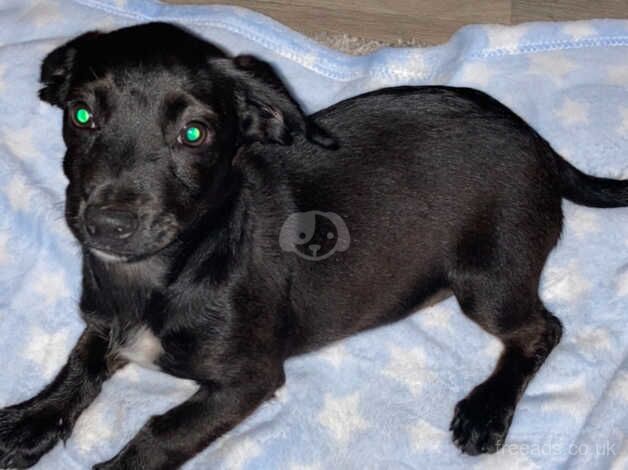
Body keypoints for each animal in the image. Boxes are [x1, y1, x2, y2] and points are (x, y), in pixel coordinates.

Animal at [1, 23, 628, 470]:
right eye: (82, 115)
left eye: (194, 134)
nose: (108, 224)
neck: (165, 270)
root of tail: (539, 145)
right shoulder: (106, 322)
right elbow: (79, 365)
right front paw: (32, 422)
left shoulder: (248, 379)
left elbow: (162, 435)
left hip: (486, 281)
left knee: (543, 330)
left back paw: (487, 410)